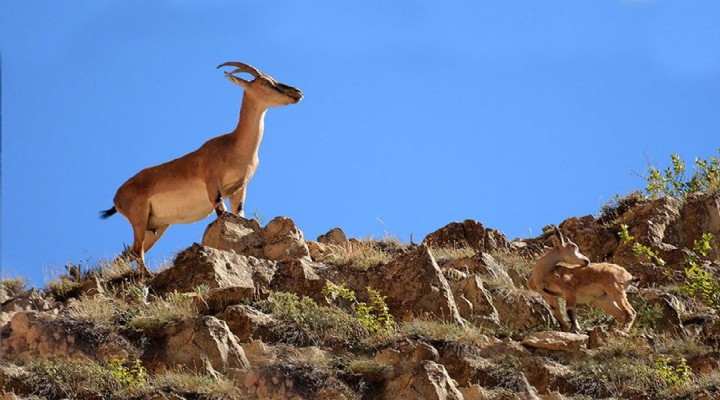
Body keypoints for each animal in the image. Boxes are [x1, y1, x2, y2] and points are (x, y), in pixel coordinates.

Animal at [101, 61, 304, 276]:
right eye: (265, 82)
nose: (297, 92)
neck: (234, 146)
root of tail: (117, 198)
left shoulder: (239, 189)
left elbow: (239, 214)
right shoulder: (213, 185)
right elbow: (222, 213)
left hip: (155, 227)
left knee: (127, 254)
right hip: (139, 219)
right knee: (136, 251)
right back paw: (147, 275)